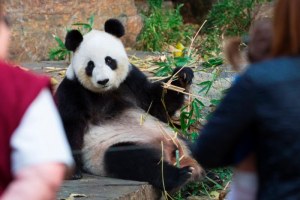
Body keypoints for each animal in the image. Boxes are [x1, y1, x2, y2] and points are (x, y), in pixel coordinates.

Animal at [55, 18, 204, 192]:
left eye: (109, 60)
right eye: (90, 65)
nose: (103, 80)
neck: (105, 92)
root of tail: (174, 155)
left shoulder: (130, 81)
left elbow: (156, 102)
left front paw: (182, 76)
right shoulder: (73, 91)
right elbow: (68, 125)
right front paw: (72, 172)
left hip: (176, 137)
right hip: (112, 148)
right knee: (130, 159)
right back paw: (178, 175)